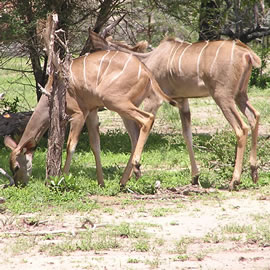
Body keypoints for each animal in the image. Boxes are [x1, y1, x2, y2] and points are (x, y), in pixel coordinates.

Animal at [5, 49, 177, 187]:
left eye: (16, 167)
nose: (19, 184)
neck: (51, 93)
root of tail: (147, 72)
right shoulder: (92, 112)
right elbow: (95, 145)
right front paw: (101, 182)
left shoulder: (79, 113)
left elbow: (71, 145)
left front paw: (62, 179)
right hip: (124, 109)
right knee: (134, 137)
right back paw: (123, 181)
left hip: (115, 101)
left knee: (148, 119)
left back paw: (136, 166)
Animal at [90, 32, 262, 190]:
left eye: (97, 51)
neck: (148, 60)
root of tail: (247, 54)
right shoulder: (182, 101)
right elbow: (187, 135)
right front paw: (195, 178)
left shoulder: (154, 100)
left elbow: (140, 133)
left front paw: (126, 178)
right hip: (240, 95)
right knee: (254, 116)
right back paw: (254, 172)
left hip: (222, 96)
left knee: (241, 128)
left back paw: (234, 181)